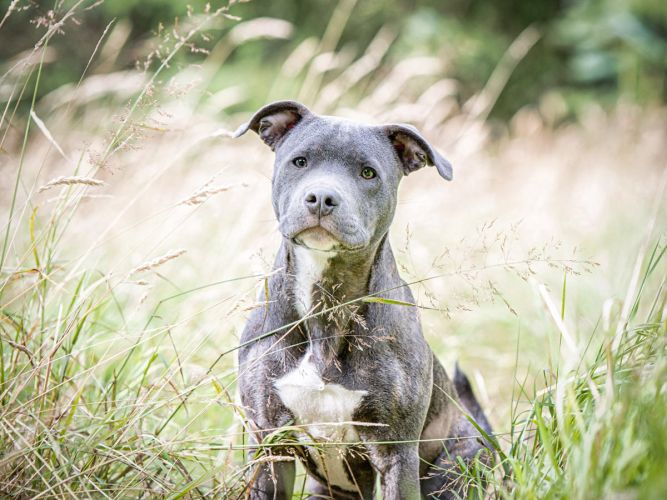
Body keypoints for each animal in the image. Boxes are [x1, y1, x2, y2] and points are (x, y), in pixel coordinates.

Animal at [234, 99, 490, 498]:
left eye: (368, 173)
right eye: (299, 161)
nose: (322, 198)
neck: (327, 299)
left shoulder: (396, 454)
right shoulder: (269, 446)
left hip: (461, 464)